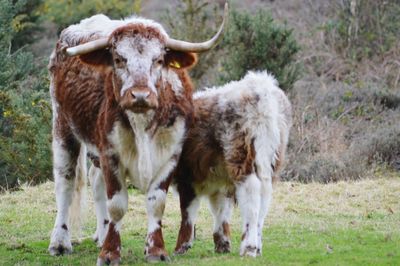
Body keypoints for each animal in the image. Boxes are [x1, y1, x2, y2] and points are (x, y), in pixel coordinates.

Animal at [47, 5, 227, 264]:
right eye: (118, 59)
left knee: (95, 180)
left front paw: (156, 250)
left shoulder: (169, 156)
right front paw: (110, 253)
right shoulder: (111, 154)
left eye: (159, 60)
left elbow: (156, 203)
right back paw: (60, 242)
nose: (140, 95)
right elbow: (117, 205)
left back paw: (101, 234)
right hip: (63, 126)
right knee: (66, 183)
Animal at [172, 70, 290, 256]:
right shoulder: (220, 182)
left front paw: (181, 246)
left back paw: (249, 247)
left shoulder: (186, 178)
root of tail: (261, 86)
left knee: (251, 193)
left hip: (241, 157)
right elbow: (221, 211)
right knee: (264, 195)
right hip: (269, 160)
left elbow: (187, 212)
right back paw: (257, 246)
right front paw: (222, 243)